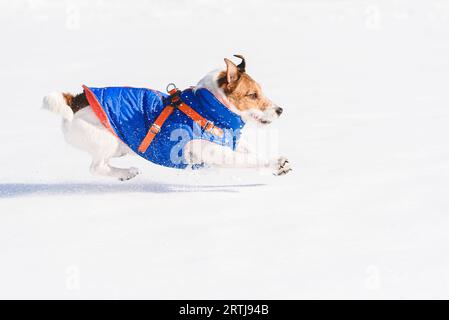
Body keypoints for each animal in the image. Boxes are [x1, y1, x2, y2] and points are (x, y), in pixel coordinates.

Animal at [43, 55, 290, 180]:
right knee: (96, 168)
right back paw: (126, 173)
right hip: (106, 139)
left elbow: (250, 152)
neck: (209, 108)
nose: (280, 110)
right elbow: (248, 159)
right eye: (252, 95)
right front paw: (273, 163)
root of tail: (75, 100)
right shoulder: (211, 150)